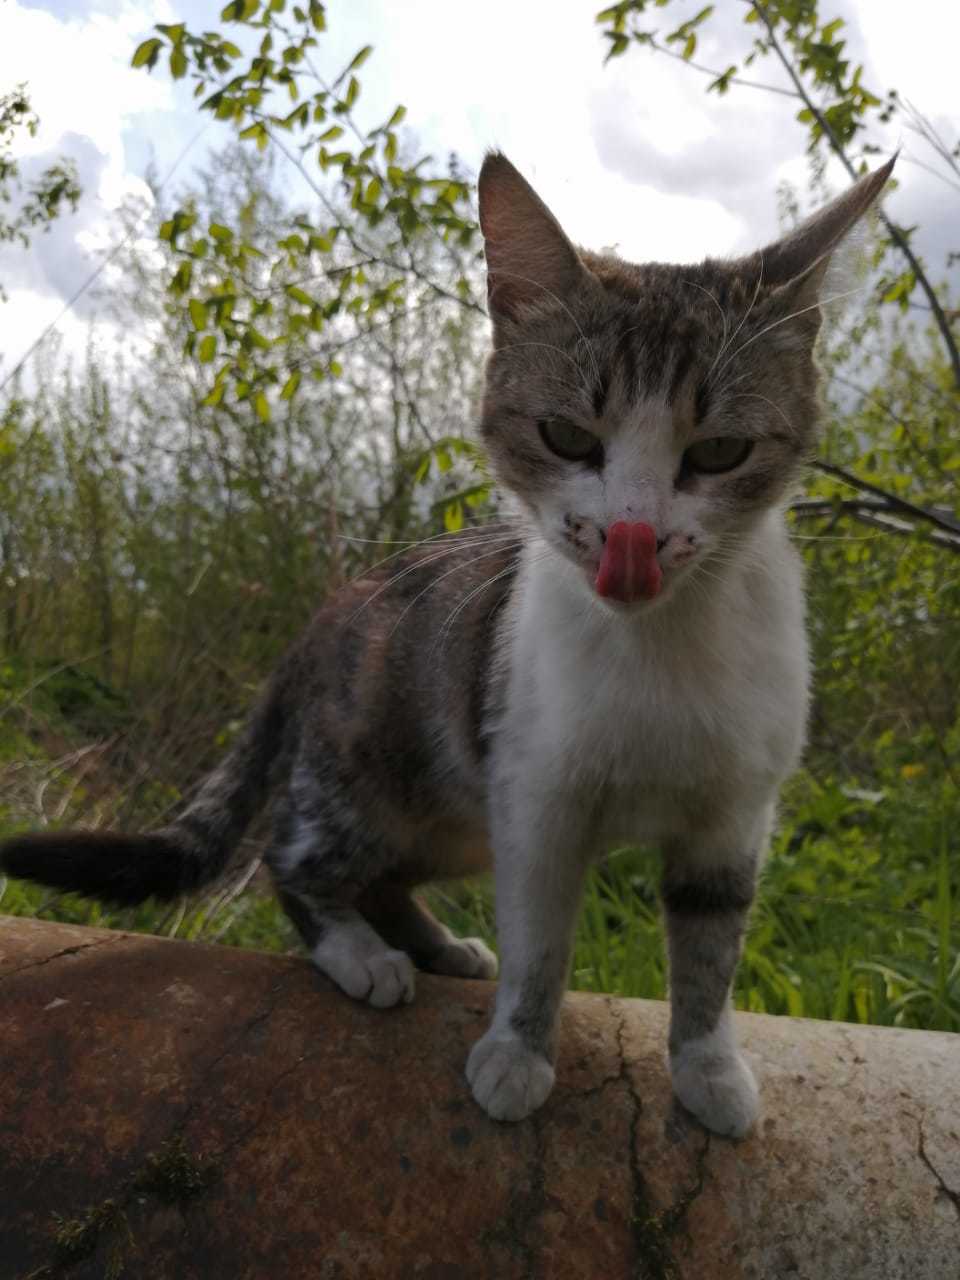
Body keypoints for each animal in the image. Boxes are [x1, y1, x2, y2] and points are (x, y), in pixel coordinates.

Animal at [1, 152, 896, 1141]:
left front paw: (708, 1067)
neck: (659, 651)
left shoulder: (732, 812)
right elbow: (540, 941)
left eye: (720, 451)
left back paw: (435, 946)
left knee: (387, 876)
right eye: (566, 435)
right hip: (376, 775)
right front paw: (518, 1053)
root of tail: (325, 616)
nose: (633, 536)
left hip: (458, 811)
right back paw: (360, 955)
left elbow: (711, 944)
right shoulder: (536, 799)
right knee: (294, 856)